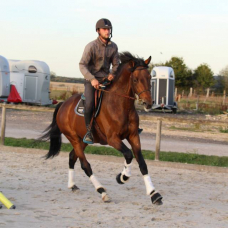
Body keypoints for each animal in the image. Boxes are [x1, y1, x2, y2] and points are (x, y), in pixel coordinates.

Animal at [40, 51, 162, 205]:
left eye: (149, 77)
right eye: (135, 79)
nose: (148, 103)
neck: (121, 105)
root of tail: (63, 105)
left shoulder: (134, 136)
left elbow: (142, 163)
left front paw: (154, 194)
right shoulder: (113, 139)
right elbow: (128, 154)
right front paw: (122, 177)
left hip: (82, 140)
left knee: (72, 157)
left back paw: (73, 185)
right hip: (74, 138)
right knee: (85, 165)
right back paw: (102, 191)